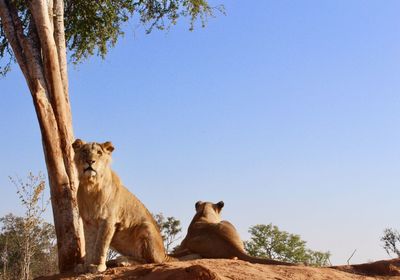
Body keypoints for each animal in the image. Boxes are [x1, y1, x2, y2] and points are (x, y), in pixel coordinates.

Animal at [72, 139, 175, 272]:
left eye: (99, 153)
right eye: (84, 151)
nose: (90, 161)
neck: (91, 187)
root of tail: (164, 253)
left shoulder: (108, 220)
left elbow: (100, 245)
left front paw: (97, 266)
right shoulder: (88, 222)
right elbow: (89, 245)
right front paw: (86, 266)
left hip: (146, 227)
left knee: (148, 261)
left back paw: (123, 261)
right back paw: (116, 261)